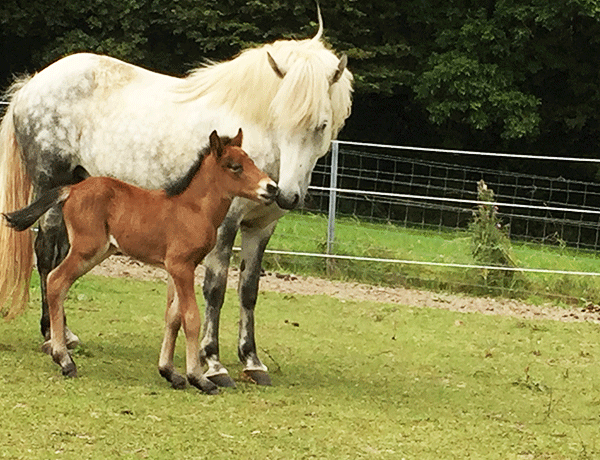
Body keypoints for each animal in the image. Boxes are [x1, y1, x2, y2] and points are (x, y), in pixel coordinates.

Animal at [0, 17, 352, 388]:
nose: (285, 194)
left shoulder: (260, 228)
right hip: (49, 185)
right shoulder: (226, 226)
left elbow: (249, 291)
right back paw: (53, 338)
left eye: (321, 125)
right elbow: (214, 290)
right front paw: (213, 363)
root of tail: (32, 84)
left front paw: (252, 362)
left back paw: (64, 336)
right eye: (278, 117)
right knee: (46, 256)